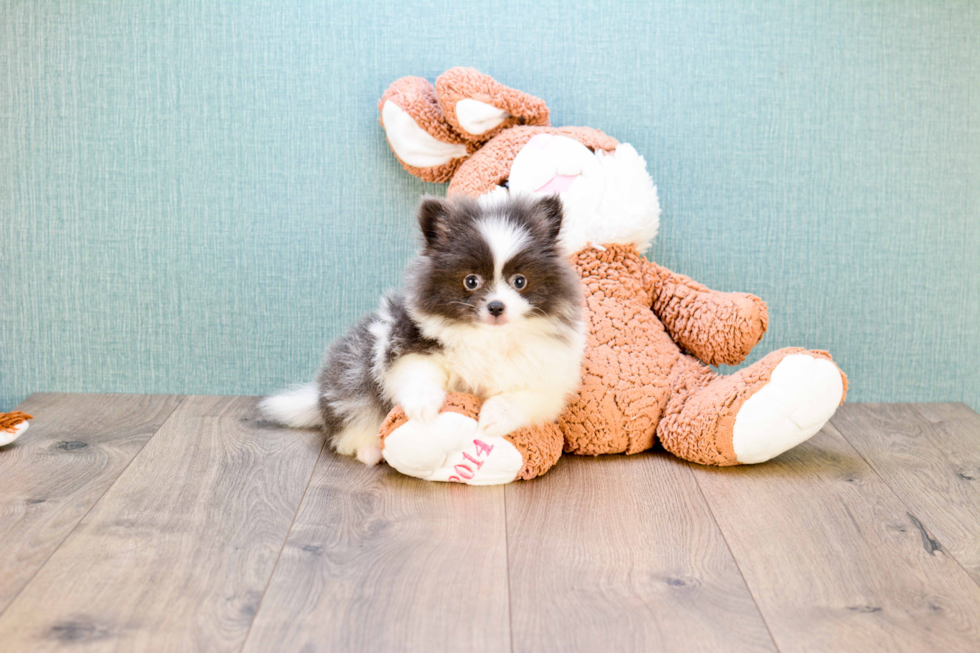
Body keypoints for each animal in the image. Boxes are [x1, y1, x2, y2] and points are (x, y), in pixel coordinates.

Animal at [260, 191, 580, 466]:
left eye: (520, 281)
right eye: (471, 281)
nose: (496, 306)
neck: (487, 338)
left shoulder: (546, 381)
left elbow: (521, 398)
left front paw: (494, 417)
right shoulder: (404, 345)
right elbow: (418, 374)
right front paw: (423, 407)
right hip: (354, 376)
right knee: (350, 425)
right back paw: (370, 451)